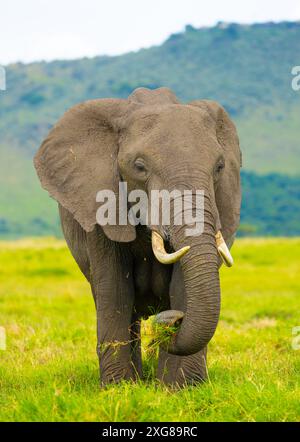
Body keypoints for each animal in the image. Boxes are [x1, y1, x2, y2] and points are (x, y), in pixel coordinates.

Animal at [34, 88, 241, 386]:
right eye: (139, 166)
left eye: (219, 167)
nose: (173, 322)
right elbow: (115, 290)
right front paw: (118, 388)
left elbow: (182, 285)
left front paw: (181, 388)